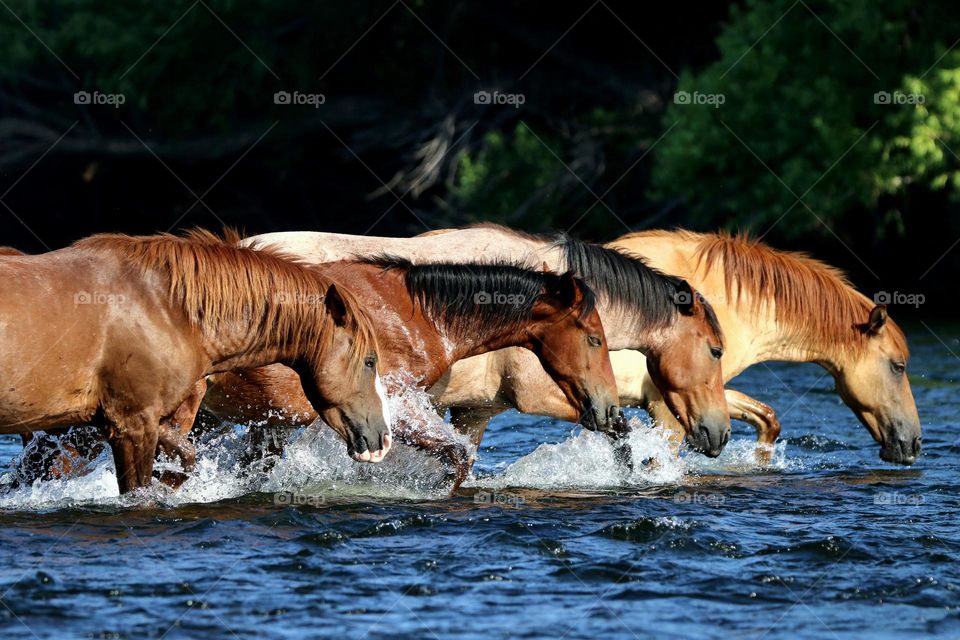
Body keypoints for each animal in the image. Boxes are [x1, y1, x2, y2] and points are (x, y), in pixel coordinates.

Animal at [0, 230, 391, 493]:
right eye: (370, 361)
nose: (382, 437)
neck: (166, 307)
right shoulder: (131, 424)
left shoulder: (125, 419)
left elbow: (185, 455)